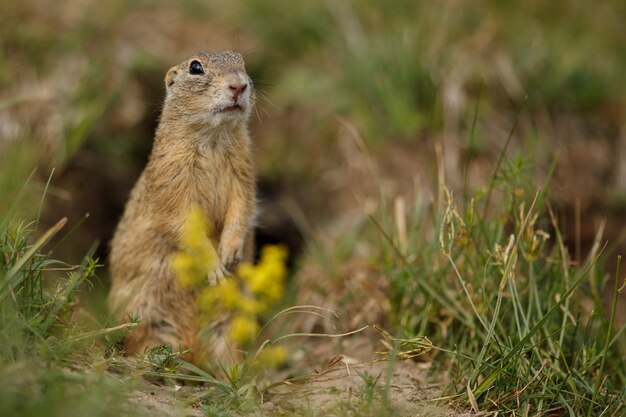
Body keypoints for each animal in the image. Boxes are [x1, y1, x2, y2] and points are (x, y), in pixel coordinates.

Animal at [108, 51, 256, 358]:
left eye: (242, 62)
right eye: (195, 67)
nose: (239, 85)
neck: (213, 138)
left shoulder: (244, 171)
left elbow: (242, 207)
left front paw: (230, 253)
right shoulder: (172, 178)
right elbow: (184, 223)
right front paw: (215, 268)